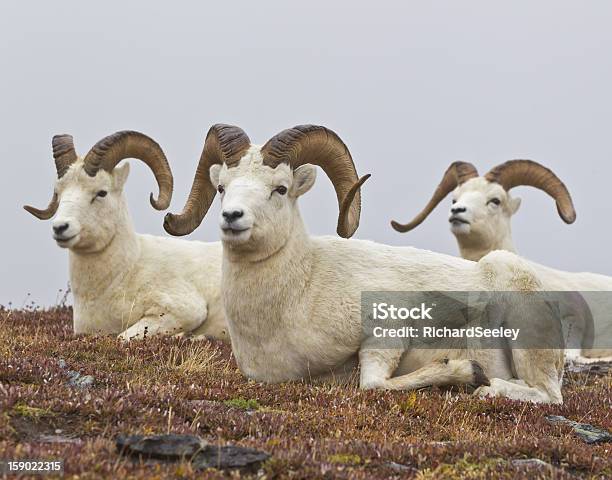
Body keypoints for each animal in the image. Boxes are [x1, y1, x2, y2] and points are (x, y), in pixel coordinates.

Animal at [163, 124, 564, 404]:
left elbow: (372, 384)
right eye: (222, 188)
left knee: (547, 395)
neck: (299, 291)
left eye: (280, 188)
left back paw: (488, 387)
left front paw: (466, 371)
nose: (232, 217)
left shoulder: (387, 332)